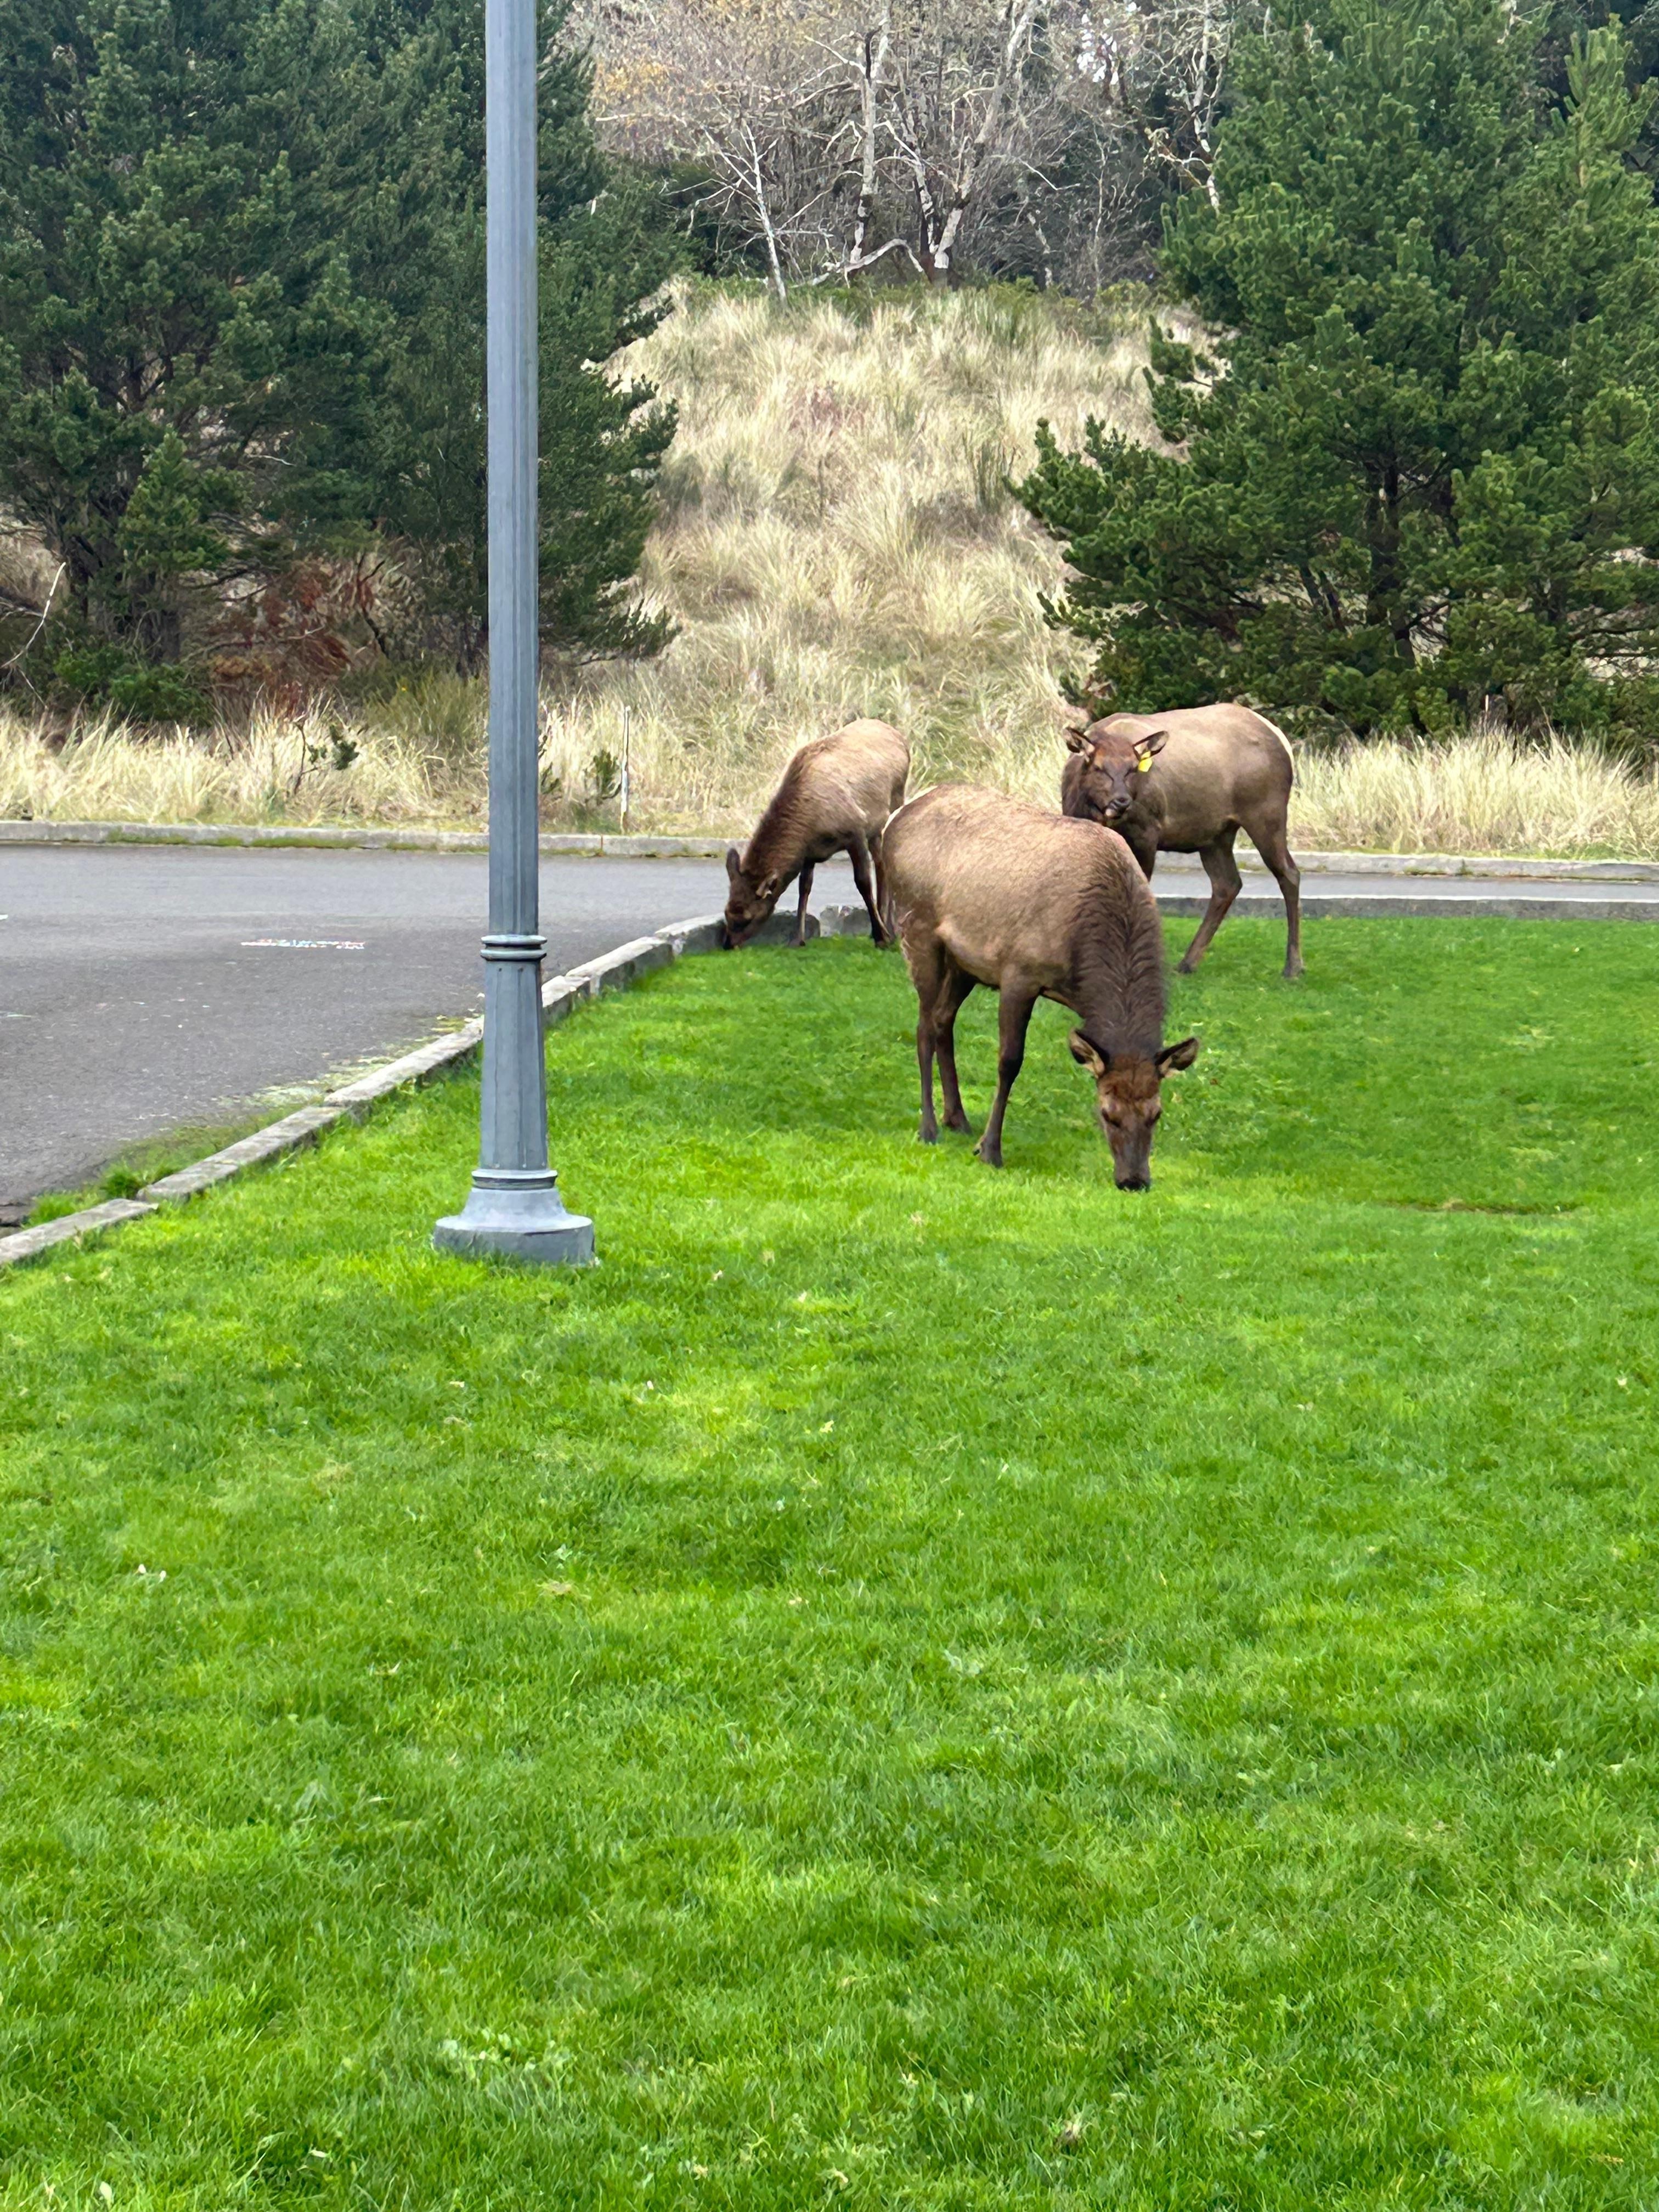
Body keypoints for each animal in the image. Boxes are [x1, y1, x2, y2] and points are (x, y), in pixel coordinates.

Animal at [723, 719, 909, 949]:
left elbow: (863, 882)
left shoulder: (855, 831)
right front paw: (798, 938)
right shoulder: (808, 853)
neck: (808, 827)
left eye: (746, 919)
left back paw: (890, 928)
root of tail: (900, 737)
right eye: (727, 913)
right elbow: (804, 888)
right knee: (882, 864)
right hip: (876, 830)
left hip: (894, 803)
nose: (727, 944)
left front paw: (880, 936)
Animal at [883, 783, 1200, 1183]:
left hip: (964, 961)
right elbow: (1009, 1061)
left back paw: (957, 1118)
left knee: (943, 1020)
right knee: (923, 1026)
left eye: (1156, 1113)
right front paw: (990, 1150)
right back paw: (929, 1128)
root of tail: (896, 818)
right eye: (1107, 1113)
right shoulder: (1019, 972)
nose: (1134, 1180)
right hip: (917, 929)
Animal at [1060, 702, 1303, 978]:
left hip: (1266, 813)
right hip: (1216, 834)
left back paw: (1293, 966)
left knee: (1289, 874)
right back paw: (1188, 962)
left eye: (1133, 769)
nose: (1122, 801)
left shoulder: (1146, 833)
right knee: (1227, 884)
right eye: (1098, 768)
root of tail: (1281, 738)